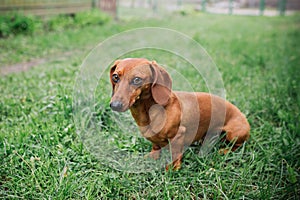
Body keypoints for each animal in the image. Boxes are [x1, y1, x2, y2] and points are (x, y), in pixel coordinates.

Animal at [109, 57, 250, 170]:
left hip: (234, 134)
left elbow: (175, 154)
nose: (115, 105)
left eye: (137, 79)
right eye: (115, 77)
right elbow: (155, 146)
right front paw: (152, 156)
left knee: (237, 146)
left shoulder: (178, 135)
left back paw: (224, 151)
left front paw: (172, 169)